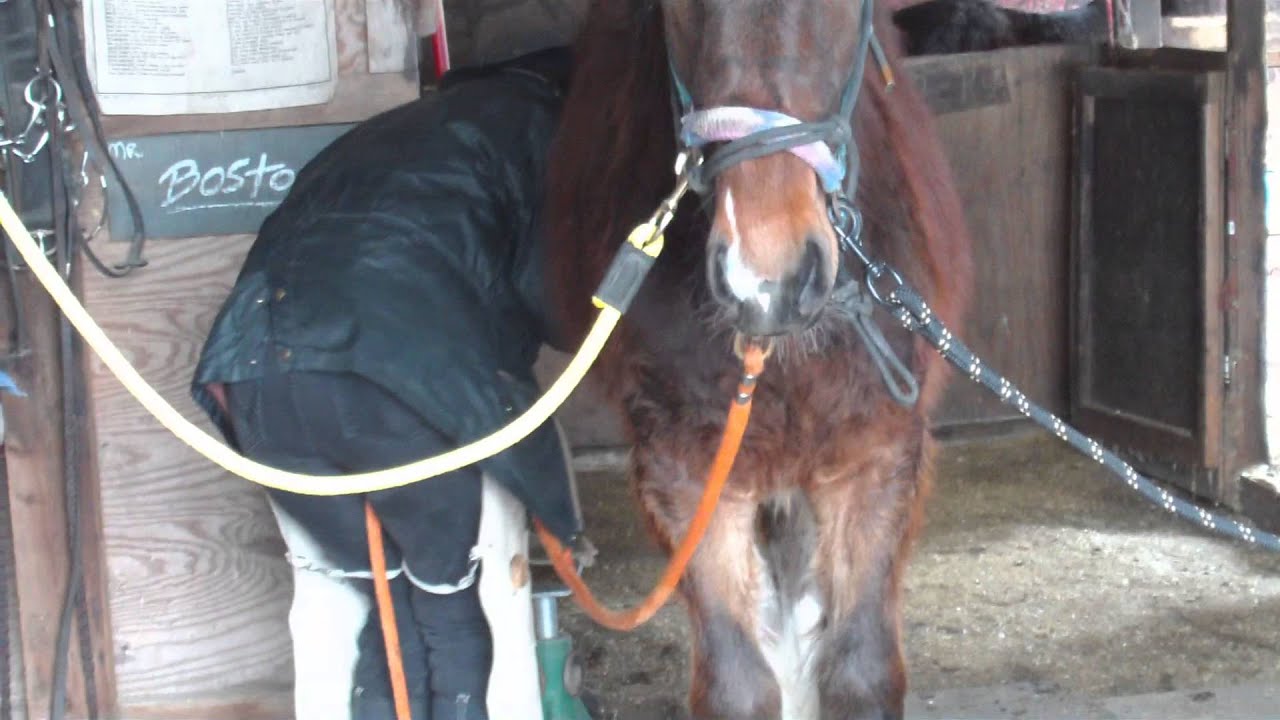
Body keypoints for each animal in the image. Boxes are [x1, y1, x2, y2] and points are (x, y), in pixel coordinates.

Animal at [543, 1, 974, 717]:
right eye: (675, 8)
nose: (766, 279)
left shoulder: (874, 457)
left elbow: (859, 672)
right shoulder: (689, 472)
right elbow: (738, 684)